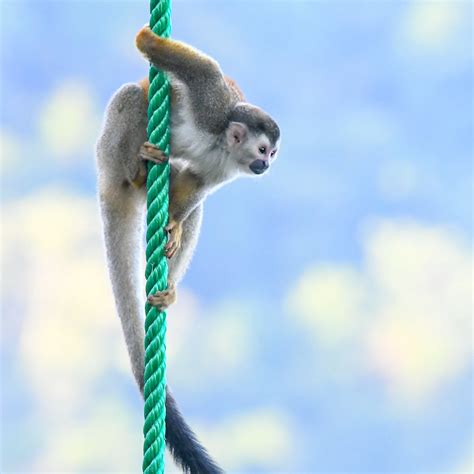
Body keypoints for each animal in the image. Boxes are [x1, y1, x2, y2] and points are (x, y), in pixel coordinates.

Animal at [96, 26, 282, 474]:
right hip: (108, 152)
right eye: (264, 150)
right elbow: (204, 70)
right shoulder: (212, 104)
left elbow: (197, 185)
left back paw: (168, 285)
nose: (267, 166)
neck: (222, 145)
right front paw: (147, 40)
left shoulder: (227, 167)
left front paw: (176, 226)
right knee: (132, 96)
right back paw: (137, 169)